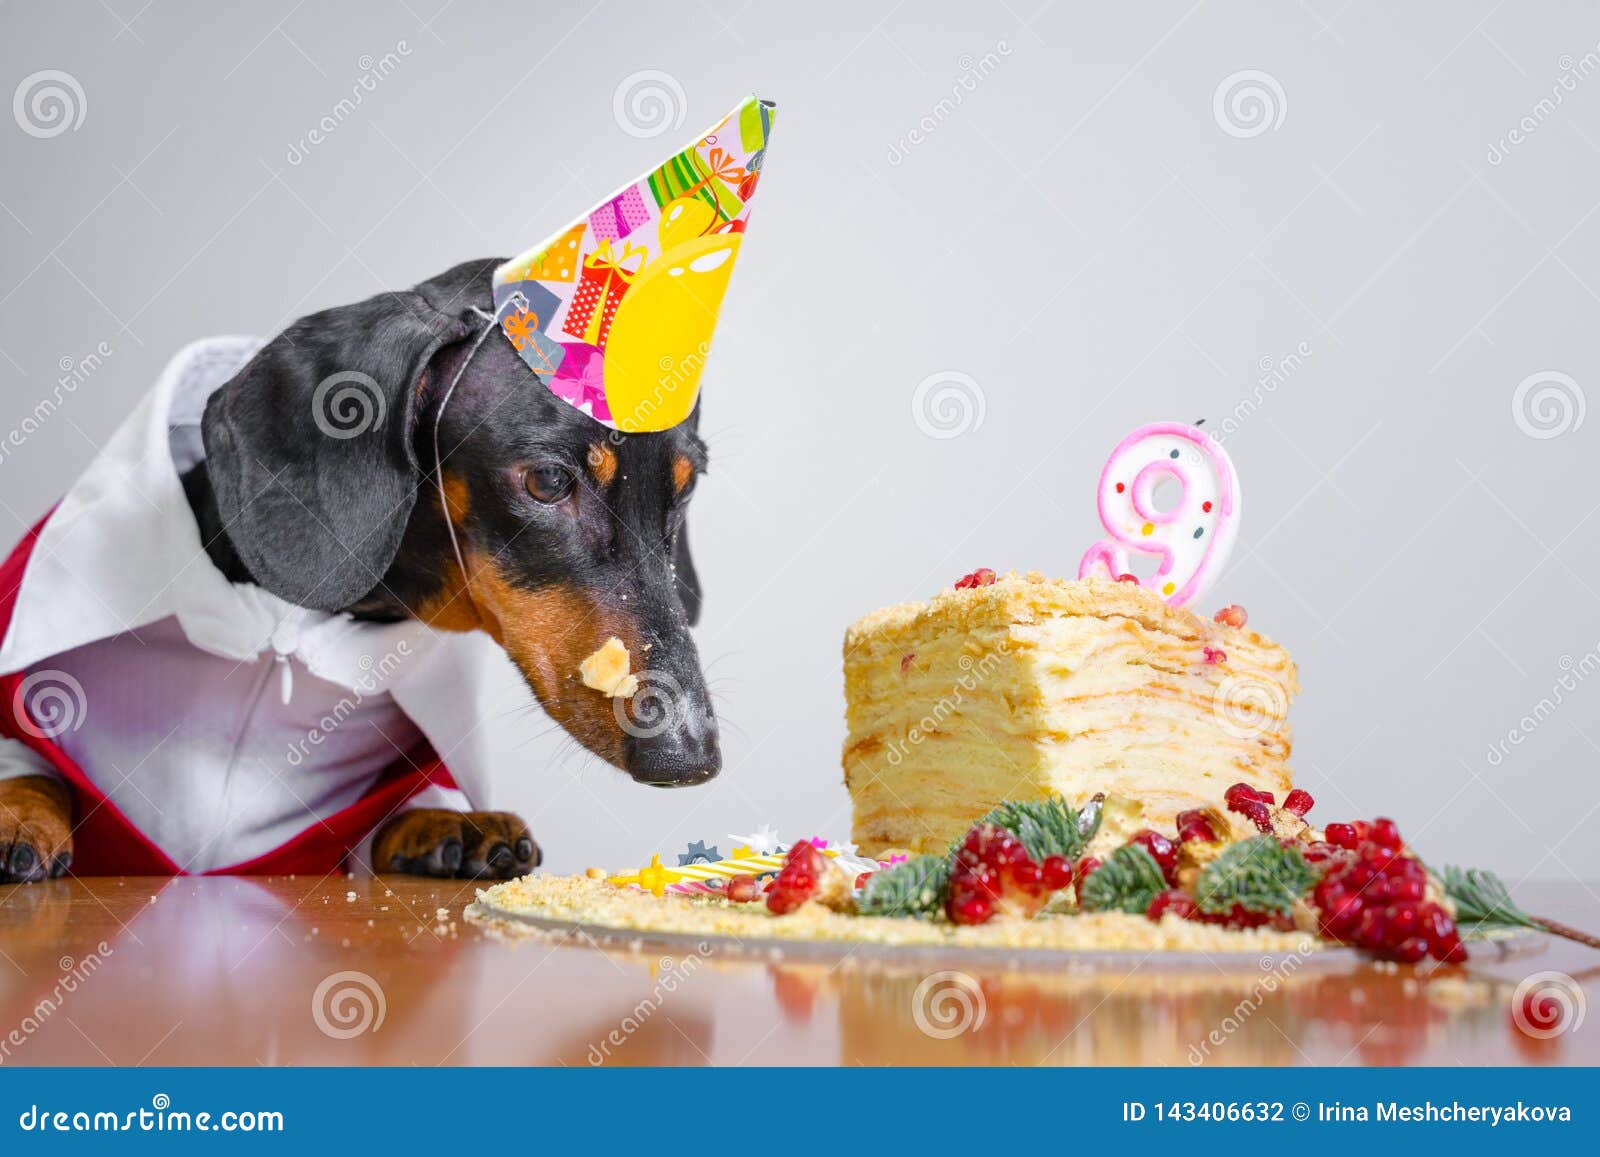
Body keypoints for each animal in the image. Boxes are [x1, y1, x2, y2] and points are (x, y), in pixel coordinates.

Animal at [0, 257, 720, 883]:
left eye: (687, 487)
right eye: (547, 480)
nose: (692, 756)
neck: (289, 632)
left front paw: (445, 824)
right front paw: (19, 811)